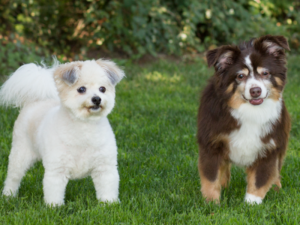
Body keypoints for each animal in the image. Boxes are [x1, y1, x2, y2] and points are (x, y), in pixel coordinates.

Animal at [0, 59, 124, 206]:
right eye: (81, 89)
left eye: (102, 89)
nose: (97, 99)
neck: (85, 127)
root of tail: (35, 100)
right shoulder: (57, 169)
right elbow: (54, 192)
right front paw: (54, 207)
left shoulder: (105, 167)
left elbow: (107, 189)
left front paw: (109, 204)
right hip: (20, 154)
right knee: (13, 177)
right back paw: (8, 195)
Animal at [197, 34, 290, 204]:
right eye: (240, 76)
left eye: (265, 73)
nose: (255, 91)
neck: (250, 111)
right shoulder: (211, 144)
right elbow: (211, 178)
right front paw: (211, 204)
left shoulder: (269, 146)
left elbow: (260, 179)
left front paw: (251, 204)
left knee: (277, 169)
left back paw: (276, 188)